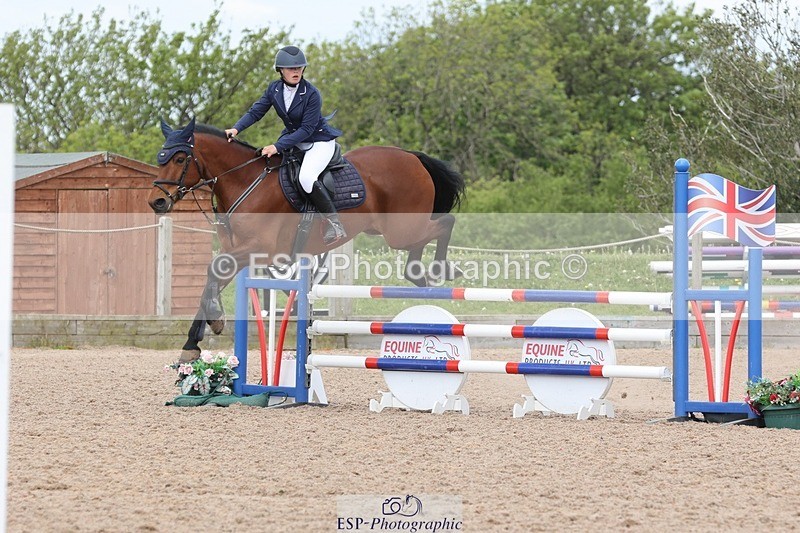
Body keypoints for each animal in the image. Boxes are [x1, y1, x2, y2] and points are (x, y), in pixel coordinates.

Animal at [148, 118, 466, 362]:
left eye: (179, 159)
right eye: (160, 158)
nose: (157, 202)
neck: (244, 182)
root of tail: (412, 156)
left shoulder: (260, 250)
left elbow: (212, 271)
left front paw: (212, 322)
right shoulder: (236, 251)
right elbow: (210, 280)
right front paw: (194, 342)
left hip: (401, 230)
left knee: (444, 224)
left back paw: (438, 270)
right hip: (396, 230)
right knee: (425, 240)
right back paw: (420, 275)